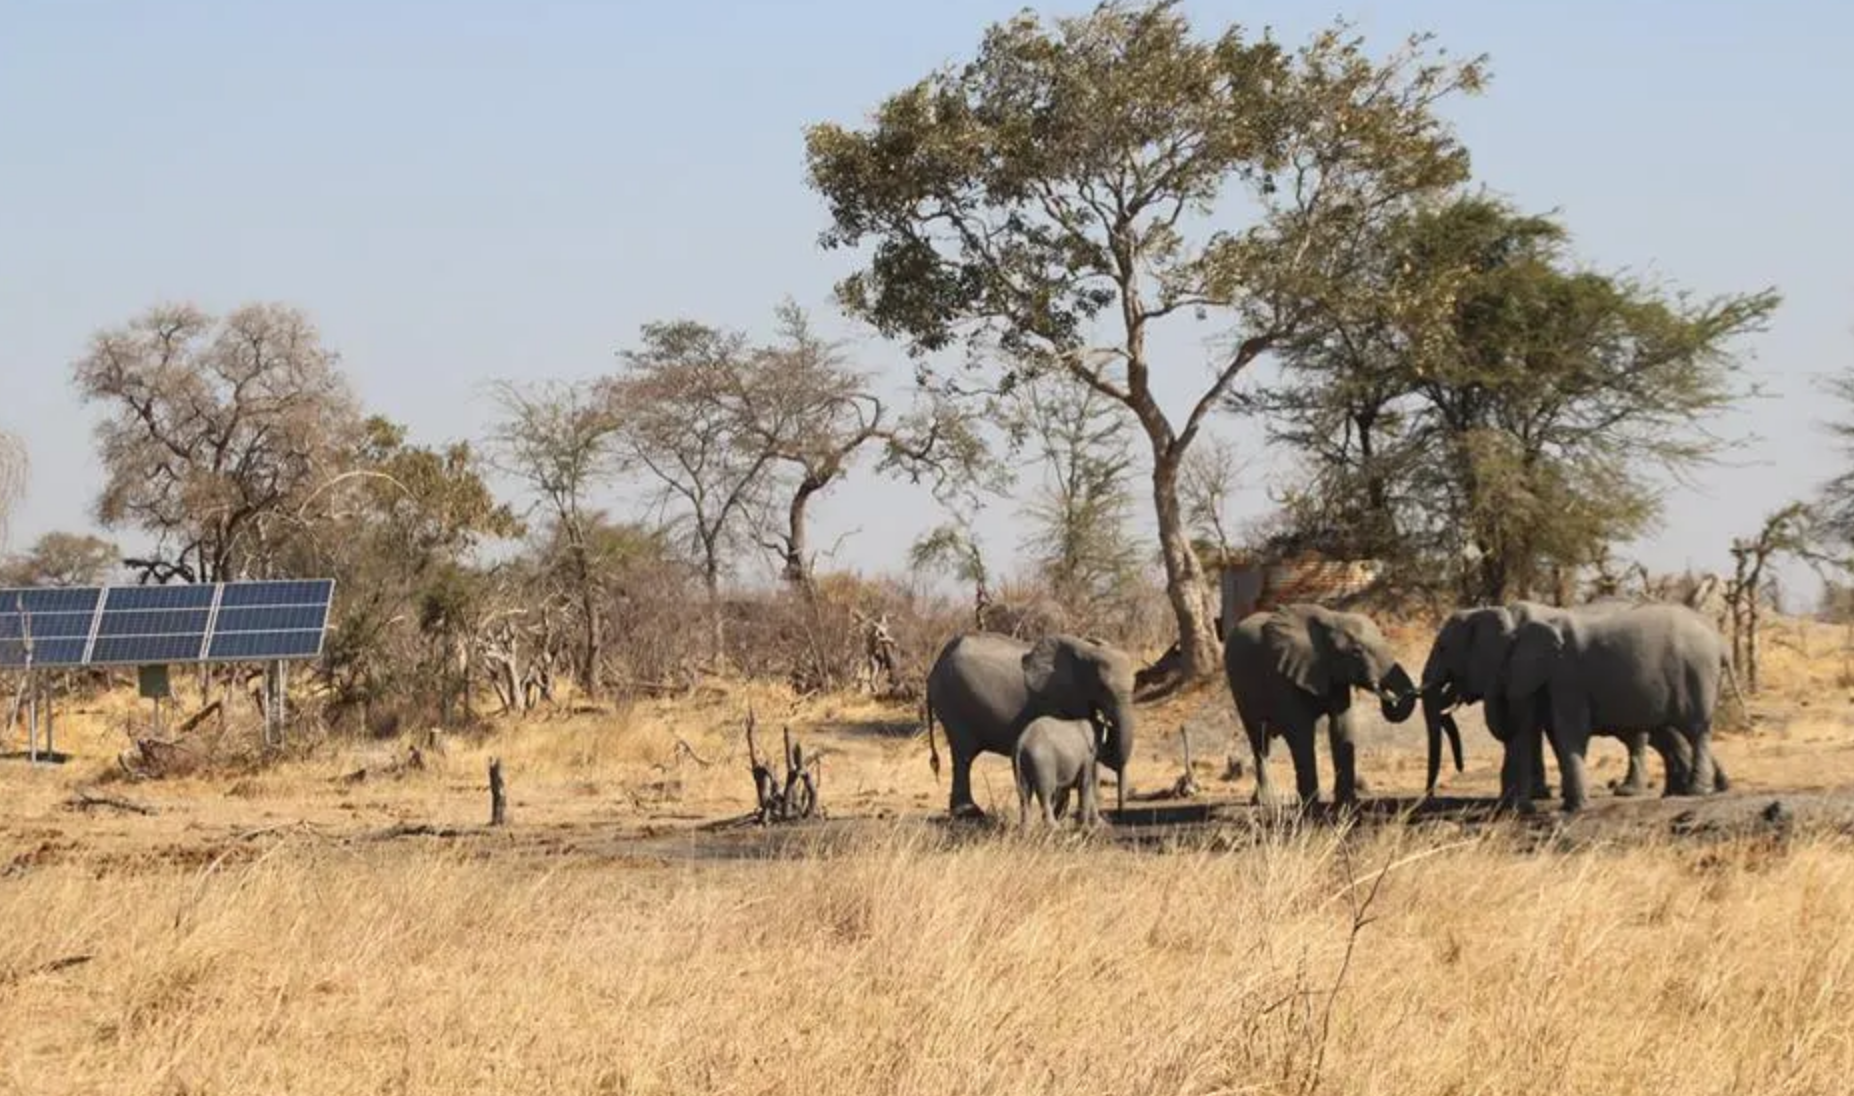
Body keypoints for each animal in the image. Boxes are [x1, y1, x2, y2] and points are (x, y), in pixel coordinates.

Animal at [923, 630, 1134, 819]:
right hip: (952, 703)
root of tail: (934, 668)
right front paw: (1061, 814)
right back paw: (968, 813)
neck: (1086, 650)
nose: (1120, 814)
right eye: (1102, 688)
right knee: (963, 756)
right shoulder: (1054, 699)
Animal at [1223, 600, 1423, 804]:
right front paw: (1310, 804)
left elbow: (1341, 726)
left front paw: (1346, 802)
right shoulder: (1280, 674)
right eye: (1356, 652)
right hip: (1239, 691)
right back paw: (1265, 802)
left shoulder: (1334, 674)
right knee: (1260, 741)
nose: (1385, 691)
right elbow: (1300, 730)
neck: (1332, 619)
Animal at [1505, 600, 1735, 815]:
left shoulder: (1566, 675)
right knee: (1673, 731)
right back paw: (1696, 789)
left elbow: (1567, 730)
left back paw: (1694, 791)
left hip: (1696, 675)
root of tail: (1721, 644)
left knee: (1694, 731)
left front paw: (1567, 806)